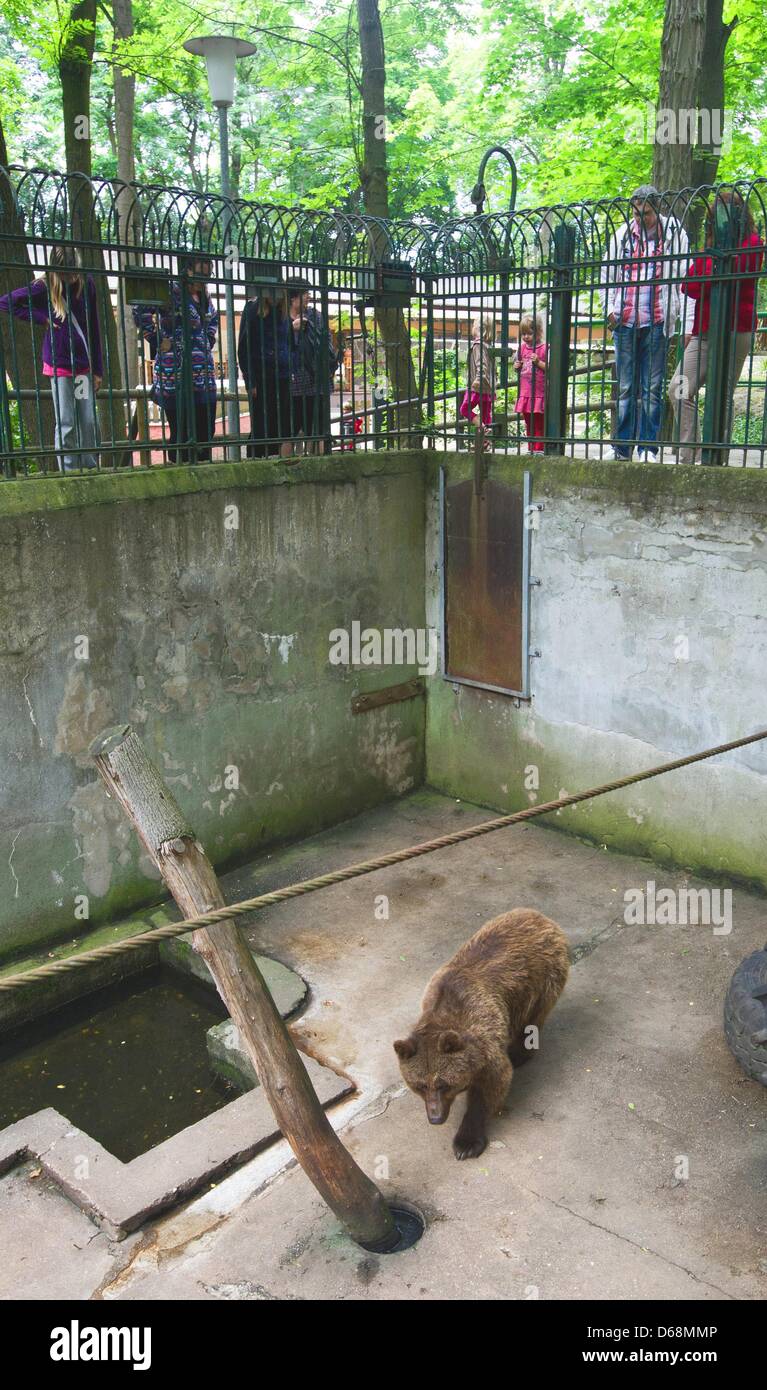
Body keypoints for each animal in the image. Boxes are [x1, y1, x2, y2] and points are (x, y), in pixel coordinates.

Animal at [394, 906, 569, 1156]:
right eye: (419, 1085)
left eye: (443, 1084)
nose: (435, 1118)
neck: (443, 1011)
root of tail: (537, 914)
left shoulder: (484, 1034)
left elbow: (491, 1084)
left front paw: (467, 1142)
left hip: (542, 978)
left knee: (534, 1019)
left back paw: (520, 1053)